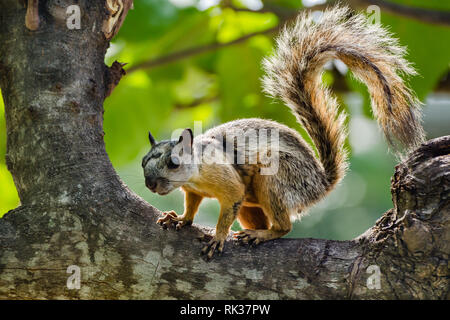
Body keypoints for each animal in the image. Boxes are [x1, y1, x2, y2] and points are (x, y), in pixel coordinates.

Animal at [142, 5, 424, 260]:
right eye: (144, 162)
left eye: (173, 163)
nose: (150, 184)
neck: (196, 173)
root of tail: (320, 185)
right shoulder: (193, 190)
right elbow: (191, 205)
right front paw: (180, 218)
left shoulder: (227, 182)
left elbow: (228, 205)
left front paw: (218, 237)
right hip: (252, 204)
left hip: (276, 177)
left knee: (283, 226)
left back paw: (262, 234)